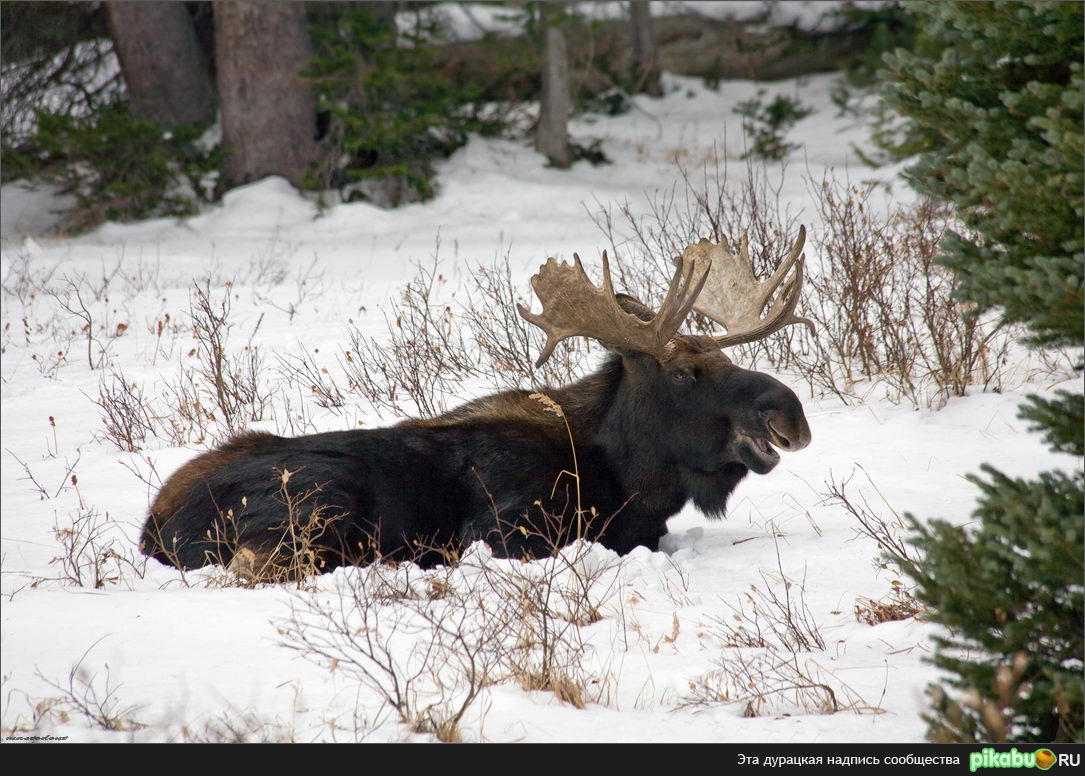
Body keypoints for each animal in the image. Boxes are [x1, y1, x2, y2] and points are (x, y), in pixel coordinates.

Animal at [137, 227, 815, 581]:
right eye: (683, 372)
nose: (790, 411)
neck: (630, 481)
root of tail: (154, 528)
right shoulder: (504, 526)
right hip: (320, 498)